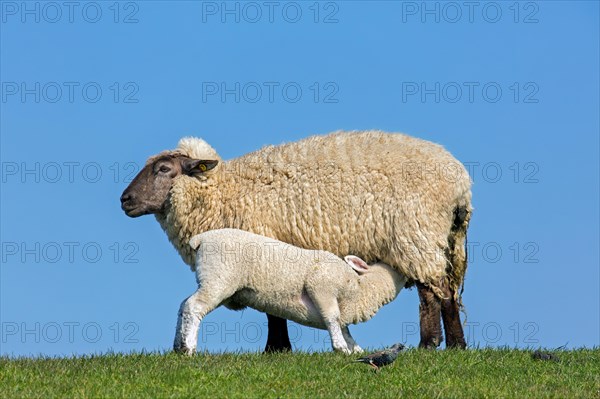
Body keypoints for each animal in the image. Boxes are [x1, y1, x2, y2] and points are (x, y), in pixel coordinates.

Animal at [175, 228, 408, 356]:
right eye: (395, 268)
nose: (410, 276)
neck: (360, 287)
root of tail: (201, 238)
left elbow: (346, 329)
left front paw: (355, 349)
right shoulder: (321, 288)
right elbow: (332, 319)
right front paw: (340, 348)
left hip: (212, 280)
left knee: (183, 304)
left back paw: (178, 345)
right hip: (219, 279)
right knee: (194, 306)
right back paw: (189, 348)